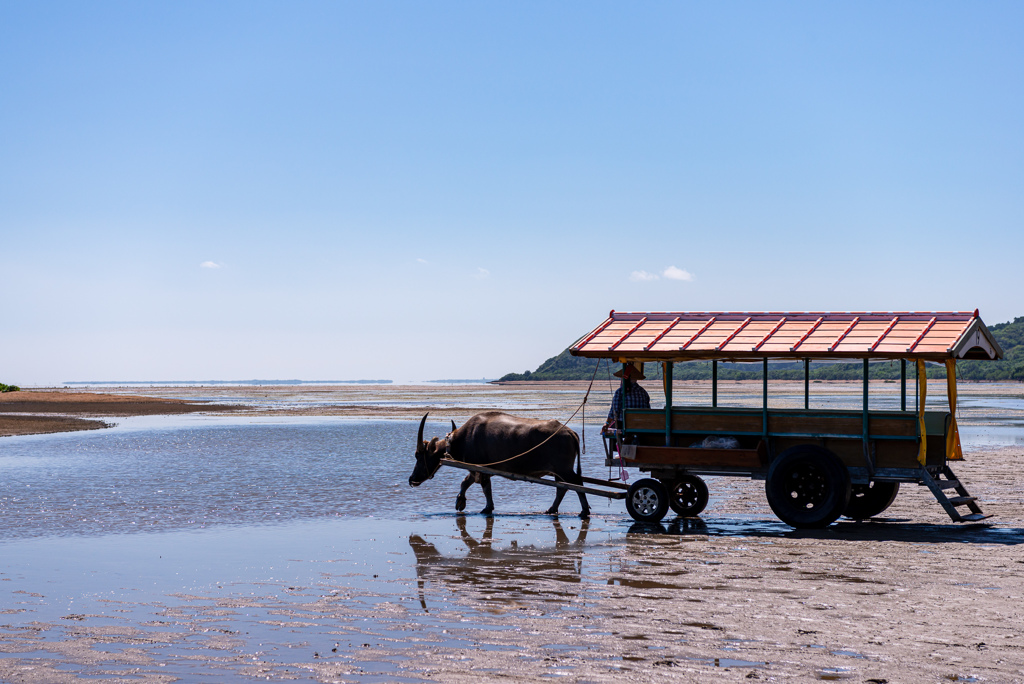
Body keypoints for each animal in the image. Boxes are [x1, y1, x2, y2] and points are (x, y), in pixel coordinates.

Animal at [407, 411, 593, 518]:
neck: (462, 439)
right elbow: (467, 482)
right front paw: (460, 501)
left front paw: (487, 508)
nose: (411, 479)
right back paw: (552, 509)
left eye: (418, 455)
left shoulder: (479, 469)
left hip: (564, 469)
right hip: (557, 471)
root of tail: (569, 431)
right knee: (562, 488)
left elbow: (484, 488)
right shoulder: (480, 469)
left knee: (576, 484)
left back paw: (584, 511)